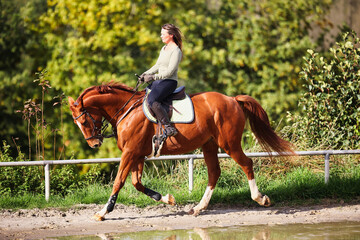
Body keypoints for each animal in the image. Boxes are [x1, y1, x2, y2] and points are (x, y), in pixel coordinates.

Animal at [68, 82, 296, 221]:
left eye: (84, 120)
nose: (94, 144)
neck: (126, 109)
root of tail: (232, 99)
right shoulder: (137, 154)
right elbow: (136, 183)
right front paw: (167, 199)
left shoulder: (130, 153)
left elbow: (119, 182)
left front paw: (102, 212)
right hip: (209, 145)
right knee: (214, 172)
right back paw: (198, 207)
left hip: (229, 143)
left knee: (246, 164)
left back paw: (260, 198)